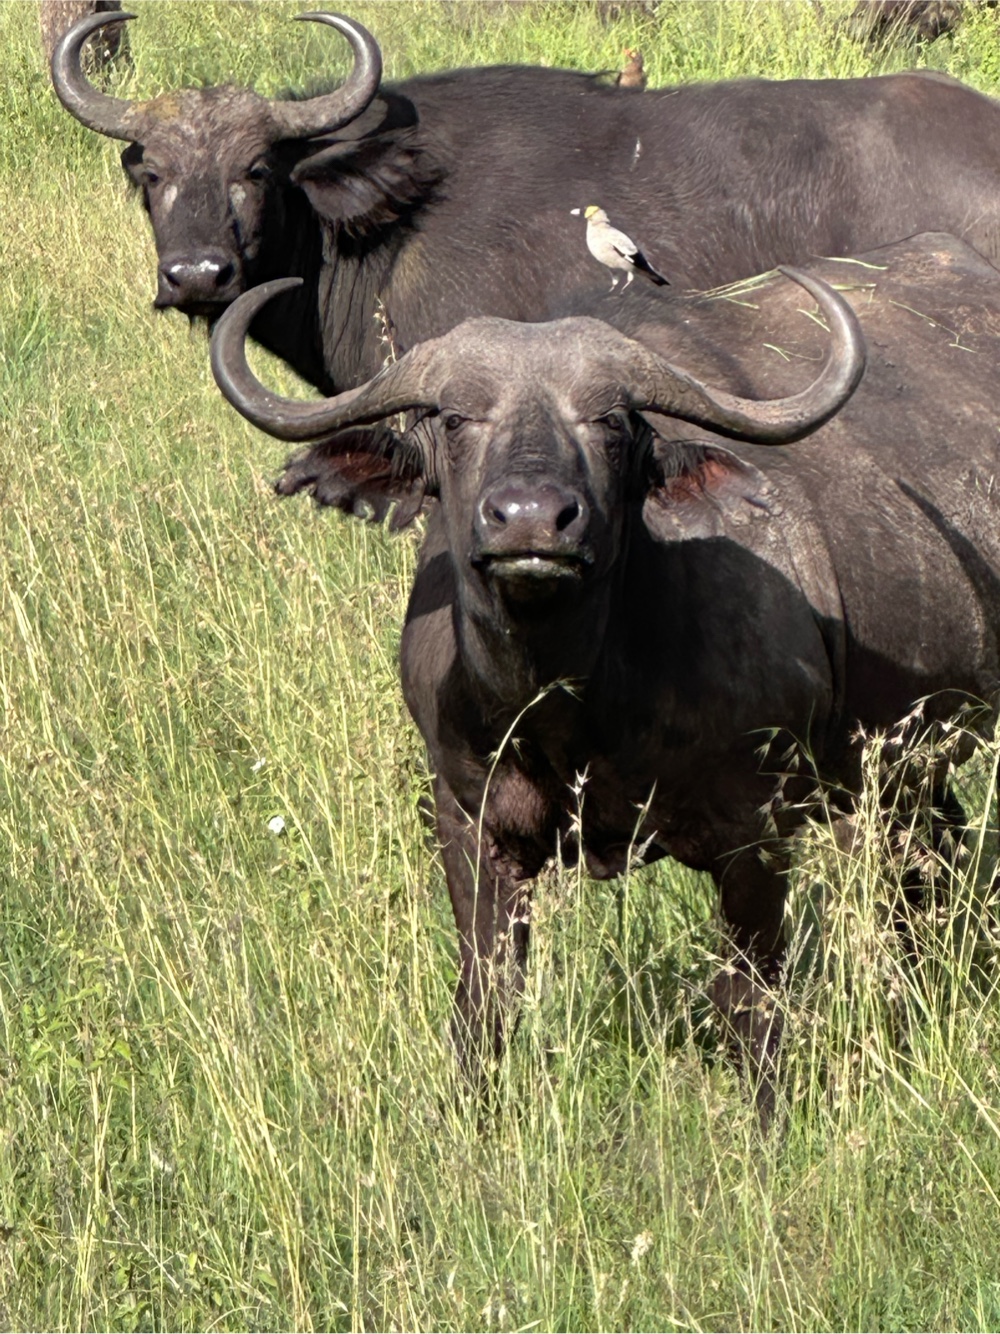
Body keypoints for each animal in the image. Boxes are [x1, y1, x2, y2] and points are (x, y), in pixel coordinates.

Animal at [206, 232, 1000, 1122]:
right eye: (453, 418)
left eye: (613, 421)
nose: (530, 521)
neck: (572, 714)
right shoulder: (467, 819)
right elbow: (486, 996)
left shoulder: (757, 834)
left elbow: (750, 1001)